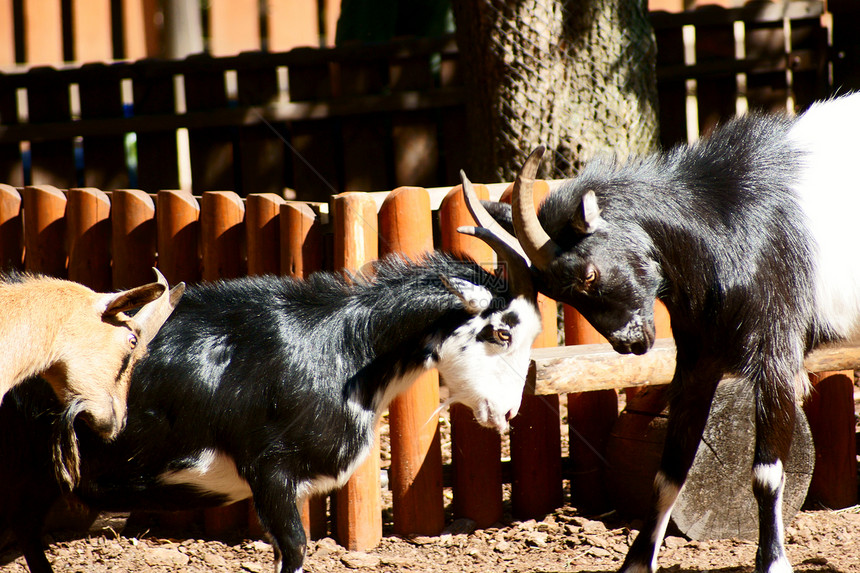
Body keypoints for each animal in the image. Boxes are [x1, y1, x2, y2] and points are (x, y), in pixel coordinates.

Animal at [474, 94, 860, 572]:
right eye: (552, 292)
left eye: (587, 275)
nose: (629, 343)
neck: (728, 219)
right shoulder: (698, 359)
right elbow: (669, 471)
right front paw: (636, 562)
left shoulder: (777, 355)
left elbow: (766, 474)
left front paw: (773, 562)